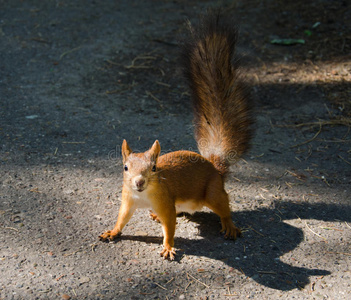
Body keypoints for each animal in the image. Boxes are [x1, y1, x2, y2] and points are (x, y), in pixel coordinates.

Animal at [99, 11, 253, 260]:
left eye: (154, 168)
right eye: (125, 167)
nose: (139, 182)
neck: (143, 196)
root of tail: (214, 168)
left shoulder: (165, 202)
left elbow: (170, 226)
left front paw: (169, 247)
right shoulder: (128, 201)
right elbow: (122, 219)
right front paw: (112, 232)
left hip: (212, 192)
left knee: (224, 206)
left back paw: (229, 225)